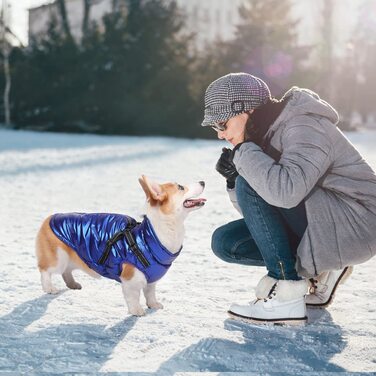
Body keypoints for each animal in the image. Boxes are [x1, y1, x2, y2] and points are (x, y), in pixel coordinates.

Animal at [36, 175, 206, 316]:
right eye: (181, 187)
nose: (203, 181)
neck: (151, 235)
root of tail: (48, 218)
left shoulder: (151, 279)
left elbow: (150, 293)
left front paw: (153, 305)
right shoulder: (130, 279)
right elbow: (133, 297)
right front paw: (137, 311)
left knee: (66, 271)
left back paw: (72, 284)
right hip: (58, 258)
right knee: (45, 271)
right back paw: (49, 288)